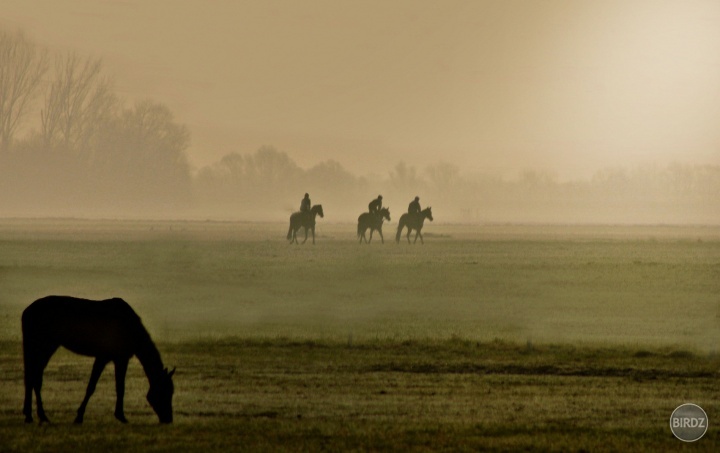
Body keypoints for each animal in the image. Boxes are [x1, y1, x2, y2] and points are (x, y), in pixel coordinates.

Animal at [22, 296, 174, 424]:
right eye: (165, 391)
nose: (168, 419)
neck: (129, 326)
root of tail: (26, 312)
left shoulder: (113, 358)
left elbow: (112, 387)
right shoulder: (110, 358)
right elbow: (100, 387)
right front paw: (82, 416)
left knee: (33, 377)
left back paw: (32, 415)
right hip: (44, 346)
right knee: (35, 377)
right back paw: (39, 415)